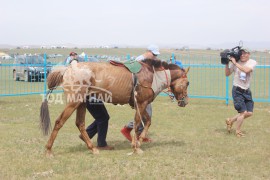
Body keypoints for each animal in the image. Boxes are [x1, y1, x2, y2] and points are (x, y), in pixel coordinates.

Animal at [40, 59, 190, 156]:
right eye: (188, 83)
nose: (185, 102)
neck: (152, 75)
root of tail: (68, 69)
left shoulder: (141, 105)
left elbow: (147, 122)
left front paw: (140, 141)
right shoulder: (141, 104)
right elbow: (137, 123)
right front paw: (136, 147)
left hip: (81, 103)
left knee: (80, 123)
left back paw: (93, 148)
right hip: (74, 102)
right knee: (59, 122)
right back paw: (48, 150)